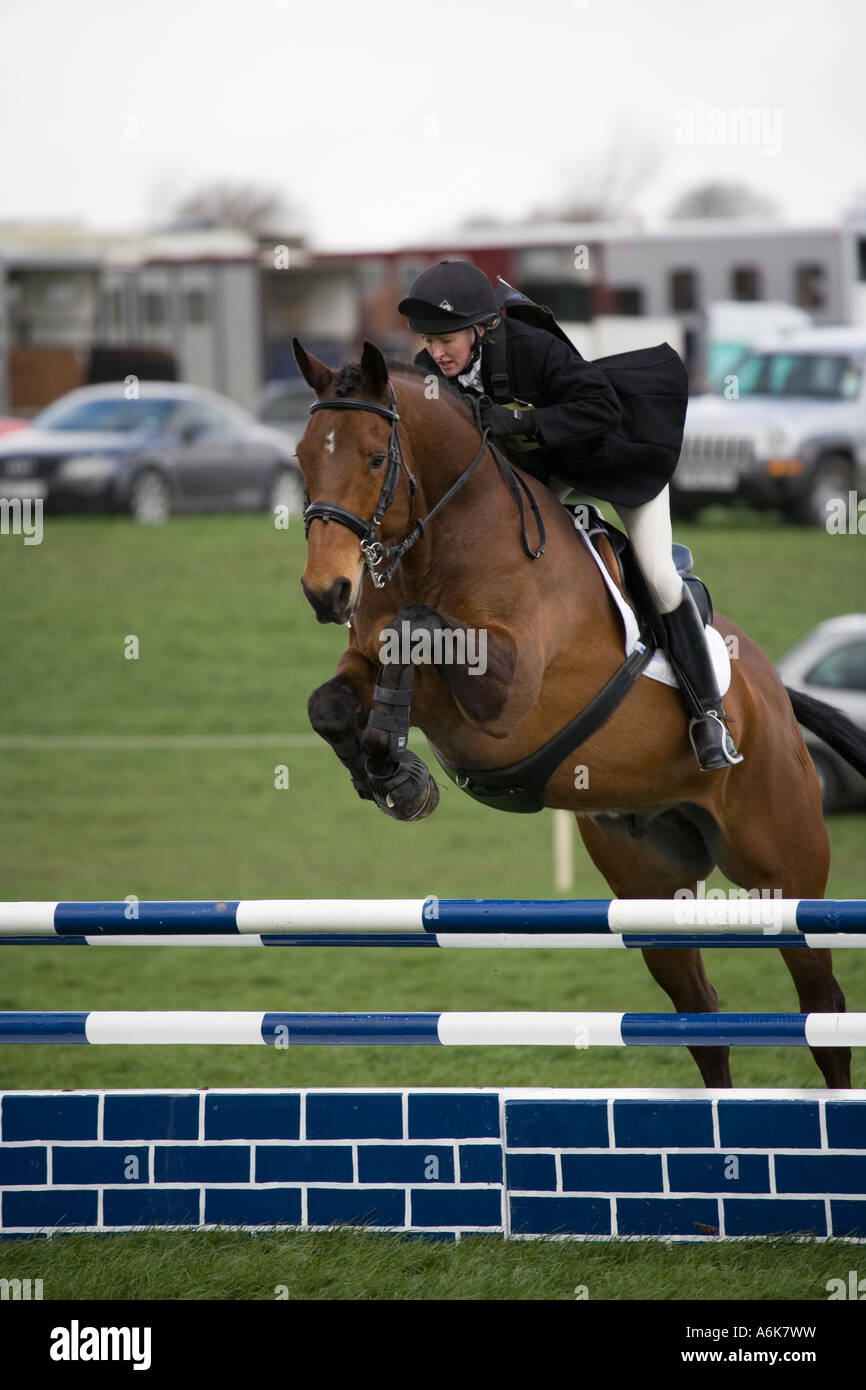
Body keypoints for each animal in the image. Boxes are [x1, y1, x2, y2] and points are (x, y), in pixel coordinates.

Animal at [292, 337, 866, 1090]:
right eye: (303, 457)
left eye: (373, 459)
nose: (325, 592)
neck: (437, 542)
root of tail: (773, 695)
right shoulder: (376, 664)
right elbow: (332, 700)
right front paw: (392, 777)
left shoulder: (505, 694)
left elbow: (414, 629)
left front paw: (393, 753)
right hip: (649, 887)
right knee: (703, 1019)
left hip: (784, 875)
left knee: (822, 1010)